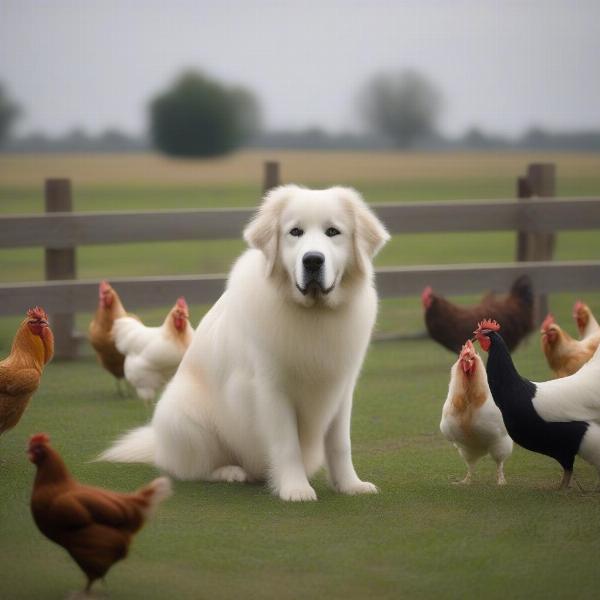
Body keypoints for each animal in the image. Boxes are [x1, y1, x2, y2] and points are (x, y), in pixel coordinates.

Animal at [99, 186, 390, 502]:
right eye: (295, 232)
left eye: (333, 232)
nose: (313, 260)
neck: (313, 315)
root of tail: (159, 445)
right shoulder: (273, 389)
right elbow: (287, 445)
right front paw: (295, 488)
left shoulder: (340, 388)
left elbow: (340, 445)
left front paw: (350, 485)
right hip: (184, 416)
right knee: (194, 469)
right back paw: (231, 472)